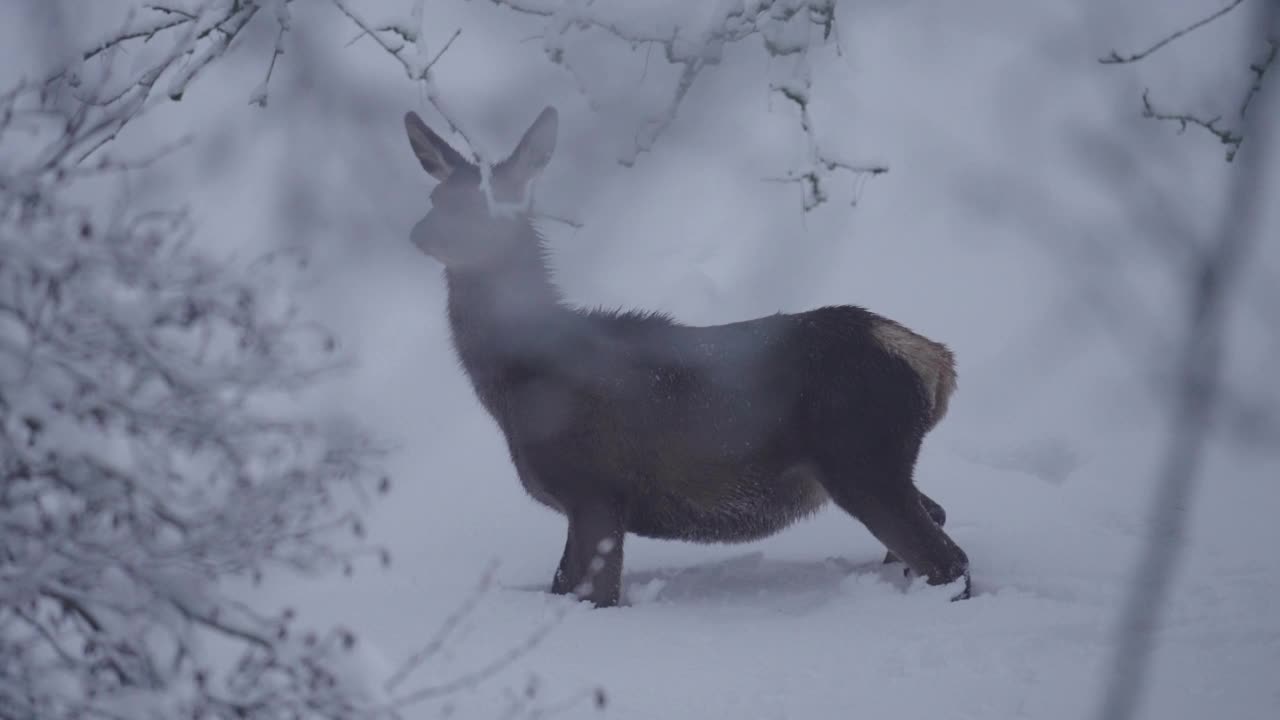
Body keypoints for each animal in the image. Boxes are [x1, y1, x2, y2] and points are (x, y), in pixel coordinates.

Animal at [401, 103, 967, 604]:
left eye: (490, 202)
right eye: (436, 195)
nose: (421, 232)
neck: (519, 381)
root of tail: (936, 361)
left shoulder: (595, 490)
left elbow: (596, 597)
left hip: (861, 455)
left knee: (949, 561)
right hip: (876, 463)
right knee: (936, 521)